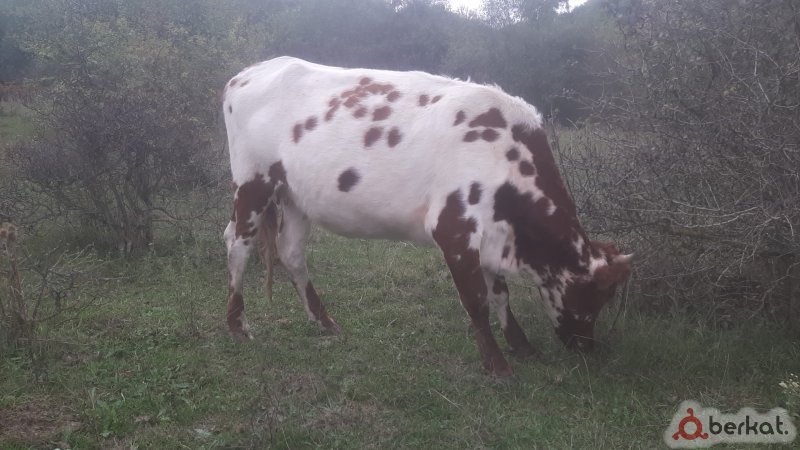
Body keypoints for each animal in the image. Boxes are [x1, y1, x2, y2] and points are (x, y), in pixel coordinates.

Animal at [221, 56, 632, 377]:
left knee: (291, 252)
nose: (586, 346)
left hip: (294, 196)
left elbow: (500, 294)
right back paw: (238, 326)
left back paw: (324, 322)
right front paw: (498, 364)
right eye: (597, 294)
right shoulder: (455, 230)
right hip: (252, 181)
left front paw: (522, 345)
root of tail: (247, 73)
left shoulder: (492, 234)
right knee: (237, 243)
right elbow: (477, 300)